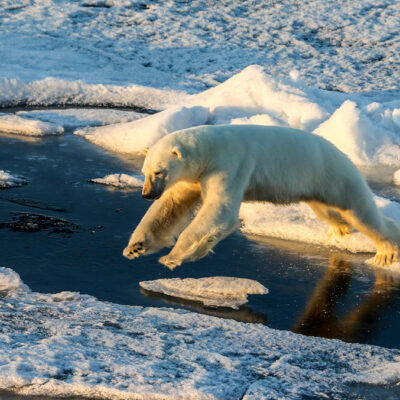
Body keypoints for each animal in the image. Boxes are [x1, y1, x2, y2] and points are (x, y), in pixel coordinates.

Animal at [122, 125, 400, 268]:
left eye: (159, 171)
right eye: (145, 171)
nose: (147, 194)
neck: (210, 149)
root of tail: (343, 154)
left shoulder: (230, 165)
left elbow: (219, 210)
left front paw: (172, 257)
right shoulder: (193, 177)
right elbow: (170, 206)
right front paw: (135, 247)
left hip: (335, 176)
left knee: (360, 212)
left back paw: (386, 253)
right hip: (317, 184)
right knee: (329, 210)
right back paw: (340, 229)